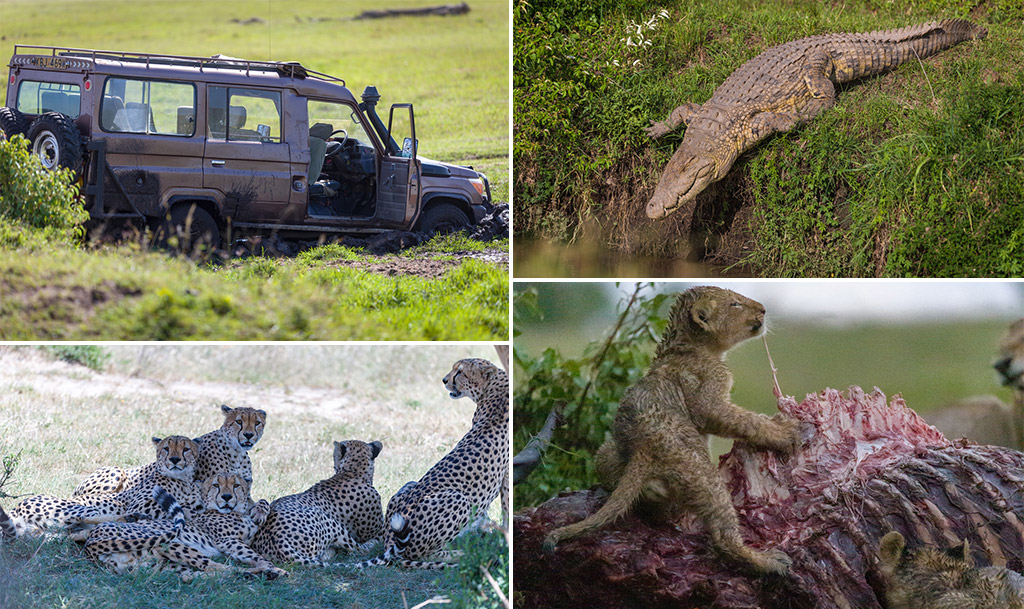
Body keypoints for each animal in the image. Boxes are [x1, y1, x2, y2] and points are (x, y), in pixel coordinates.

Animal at [2, 436, 201, 540]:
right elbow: (183, 508)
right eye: (166, 448)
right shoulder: (141, 504)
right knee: (91, 517)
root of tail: (17, 506)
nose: (174, 460)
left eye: (186, 449)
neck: (183, 480)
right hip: (85, 503)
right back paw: (132, 518)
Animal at [250, 438, 385, 569]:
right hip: (329, 521)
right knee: (359, 549)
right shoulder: (377, 529)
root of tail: (279, 542)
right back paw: (371, 544)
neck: (352, 472)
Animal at [356, 358, 507, 573]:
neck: (495, 386)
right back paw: (462, 554)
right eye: (454, 369)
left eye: (460, 372)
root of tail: (389, 541)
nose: (444, 380)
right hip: (460, 499)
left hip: (411, 485)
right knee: (421, 554)